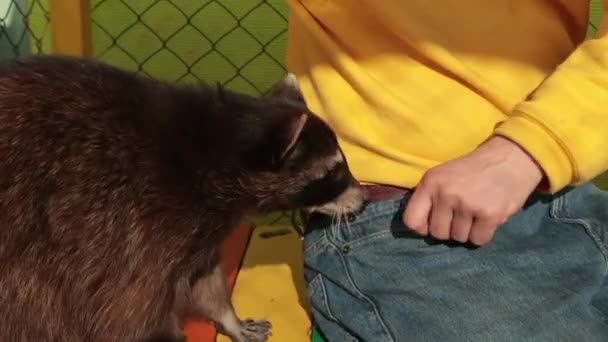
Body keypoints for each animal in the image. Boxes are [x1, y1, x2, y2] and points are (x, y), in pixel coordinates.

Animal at [0, 55, 364, 342]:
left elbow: (205, 277)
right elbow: (129, 315)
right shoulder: (134, 229)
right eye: (334, 172)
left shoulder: (194, 234)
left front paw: (228, 318)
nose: (364, 199)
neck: (212, 150)